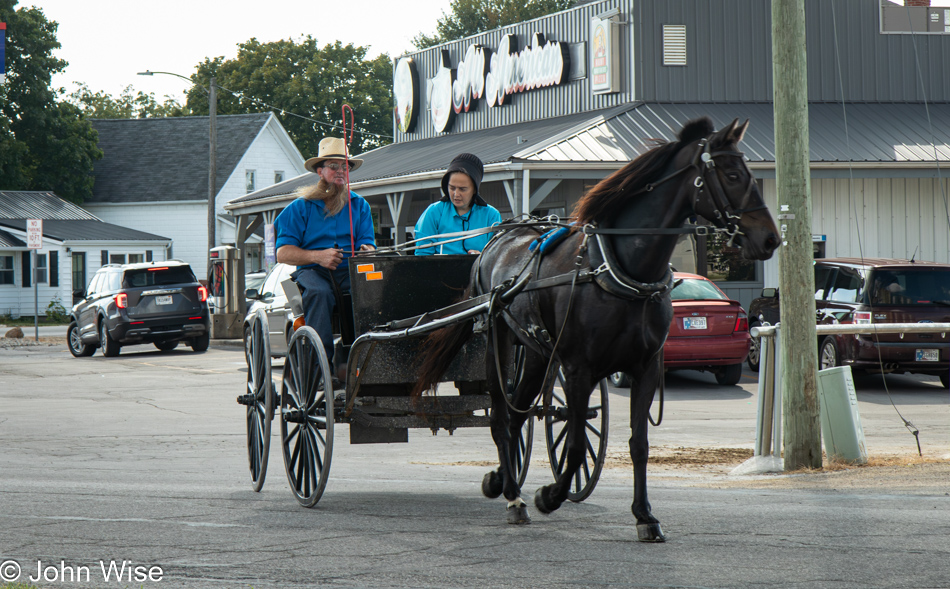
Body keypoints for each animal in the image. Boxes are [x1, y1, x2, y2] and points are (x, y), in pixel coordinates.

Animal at [414, 117, 780, 540]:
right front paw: (549, 495)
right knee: (502, 416)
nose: (771, 238)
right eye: (734, 175)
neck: (621, 269)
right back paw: (514, 497)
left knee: (519, 413)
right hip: (498, 341)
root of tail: (495, 242)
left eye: (752, 173)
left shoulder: (646, 368)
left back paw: (502, 480)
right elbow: (573, 446)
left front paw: (645, 515)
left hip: (537, 353)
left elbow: (639, 443)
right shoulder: (578, 369)